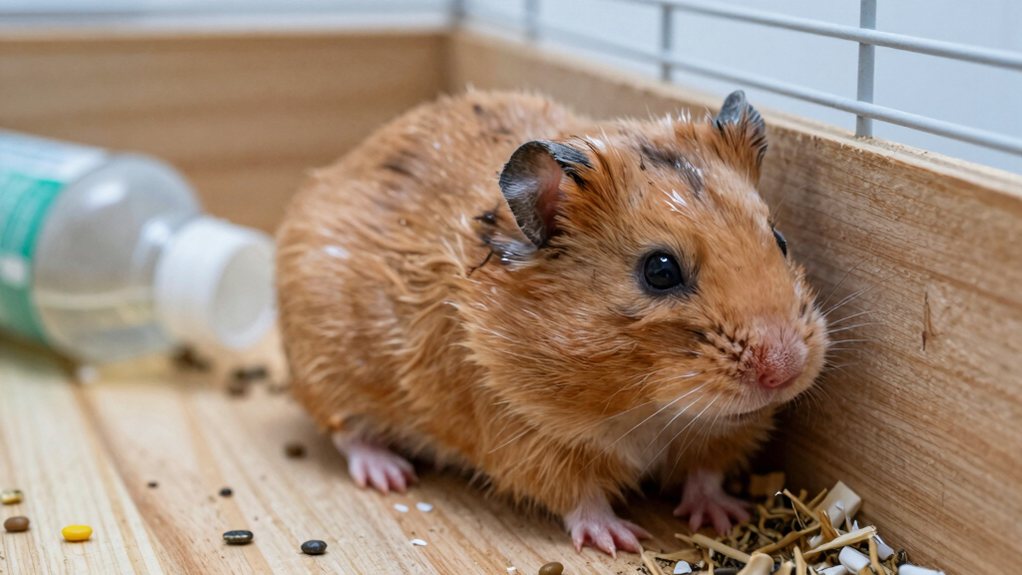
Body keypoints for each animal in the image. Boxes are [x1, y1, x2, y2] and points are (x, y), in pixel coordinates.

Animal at [276, 90, 829, 556]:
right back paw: (390, 473)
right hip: (330, 371)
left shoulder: (719, 436)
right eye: (660, 271)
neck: (651, 407)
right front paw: (621, 541)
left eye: (779, 240)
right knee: (348, 433)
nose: (784, 370)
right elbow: (580, 497)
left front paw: (725, 516)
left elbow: (706, 473)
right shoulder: (529, 437)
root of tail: (339, 167)